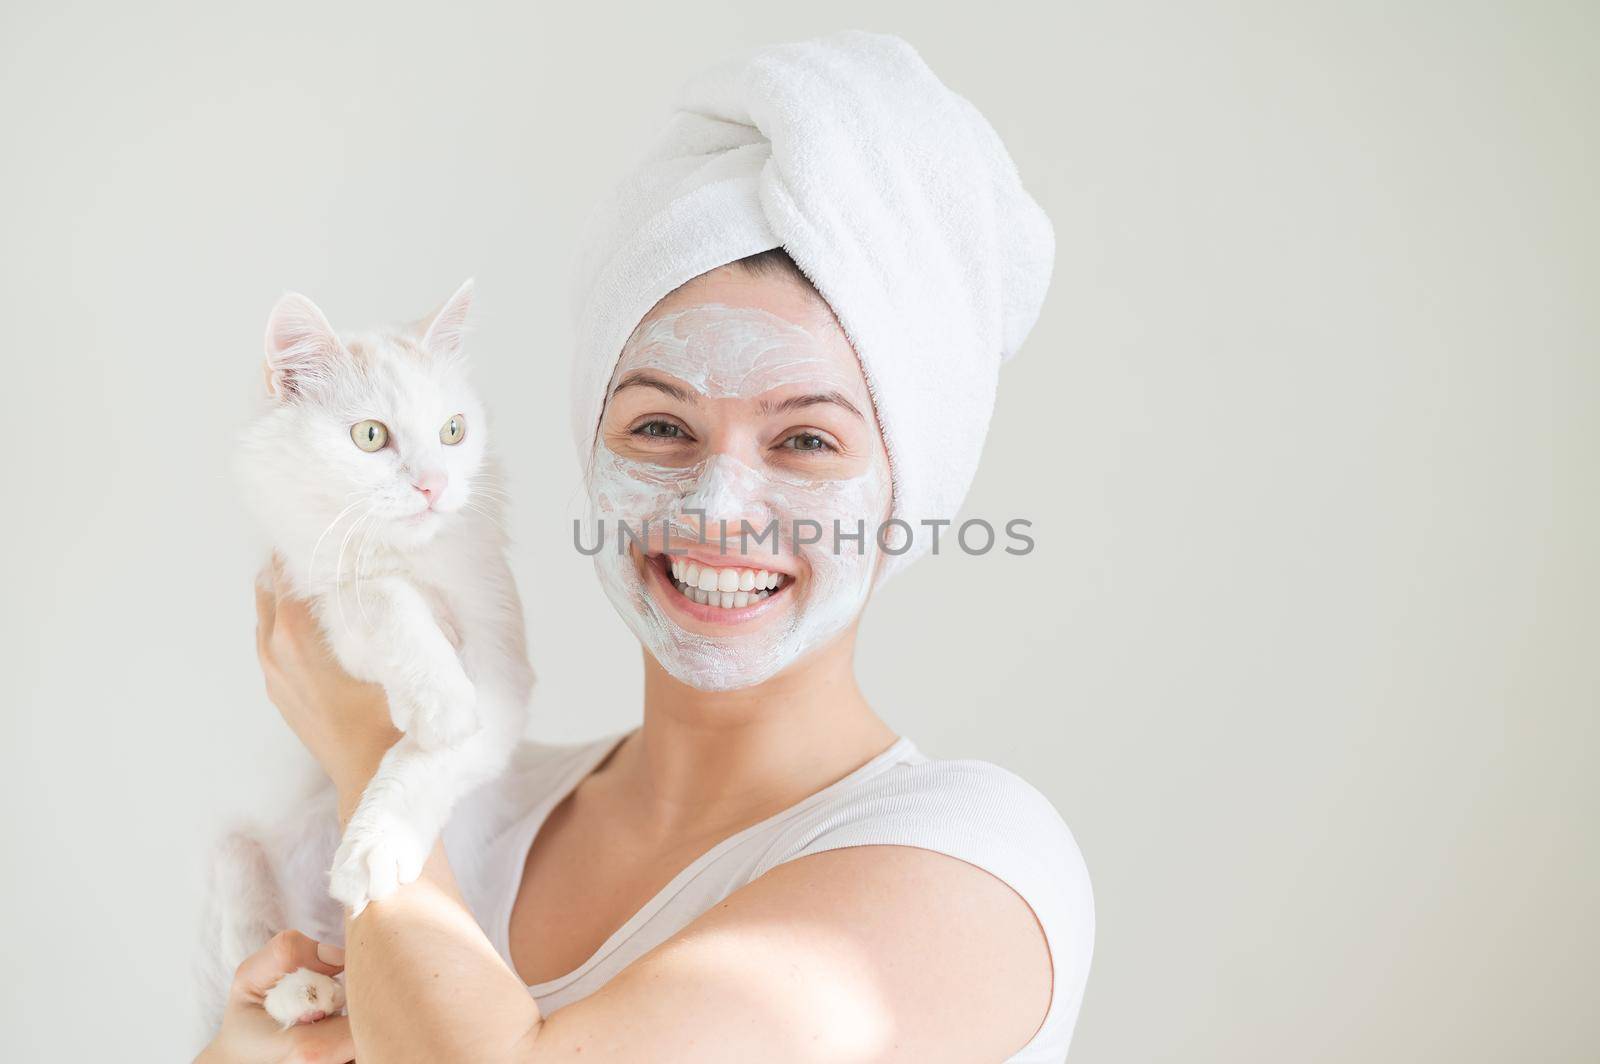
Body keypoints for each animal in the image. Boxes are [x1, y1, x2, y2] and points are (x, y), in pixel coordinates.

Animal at [196, 278, 534, 1024]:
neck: (411, 557)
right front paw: (437, 698)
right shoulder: (328, 600)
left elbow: (424, 763)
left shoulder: (502, 679)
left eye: (453, 431)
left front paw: (374, 850)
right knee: (258, 965)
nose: (435, 485)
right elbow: (387, 602)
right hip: (232, 854)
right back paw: (307, 994)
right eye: (371, 436)